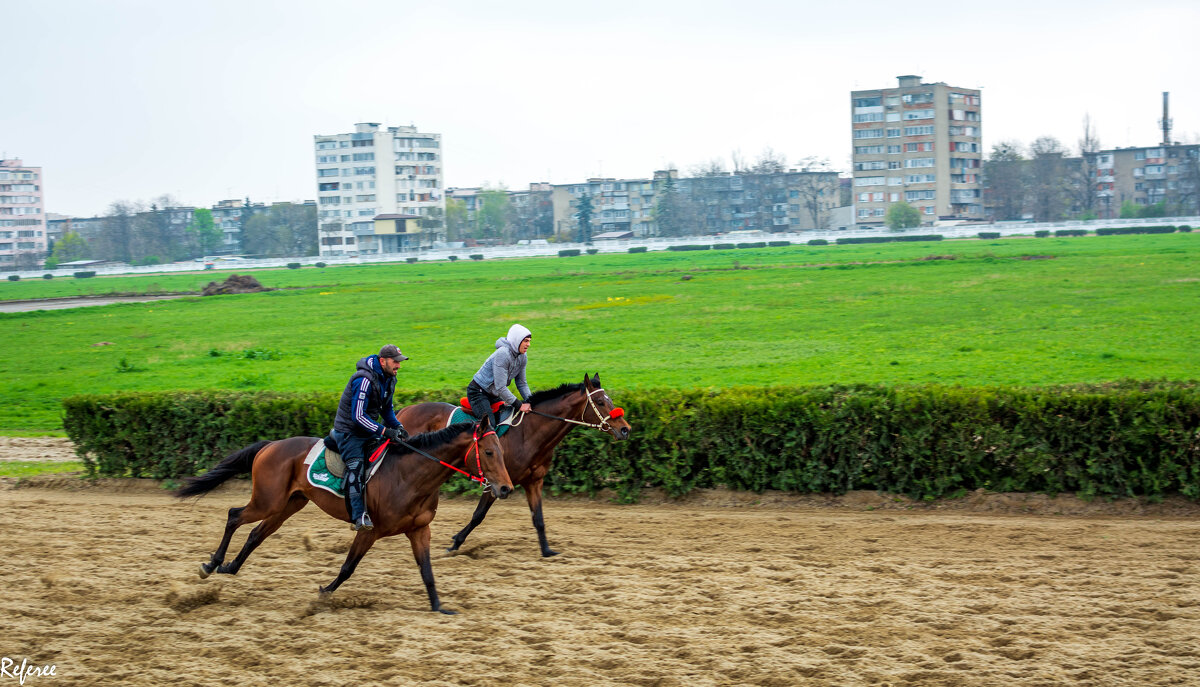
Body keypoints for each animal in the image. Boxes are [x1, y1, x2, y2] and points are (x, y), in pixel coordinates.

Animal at [176, 415, 511, 614]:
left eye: (502, 450)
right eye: (489, 452)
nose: (505, 488)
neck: (409, 475)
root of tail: (271, 445)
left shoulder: (419, 530)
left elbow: (427, 570)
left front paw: (439, 606)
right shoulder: (370, 530)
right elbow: (349, 566)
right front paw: (324, 593)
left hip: (288, 505)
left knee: (256, 534)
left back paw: (230, 567)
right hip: (267, 501)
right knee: (234, 515)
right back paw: (211, 564)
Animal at [398, 372, 633, 554]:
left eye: (610, 400)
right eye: (601, 402)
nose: (625, 429)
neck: (528, 434)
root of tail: (404, 409)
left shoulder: (534, 481)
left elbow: (538, 518)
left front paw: (547, 550)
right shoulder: (495, 483)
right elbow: (478, 515)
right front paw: (455, 542)